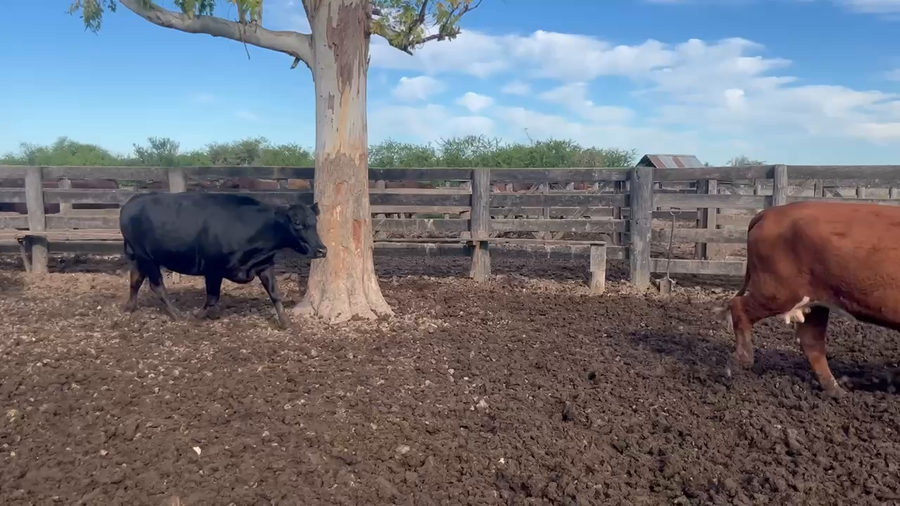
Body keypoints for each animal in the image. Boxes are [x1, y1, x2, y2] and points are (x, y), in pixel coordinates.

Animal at [119, 192, 327, 328]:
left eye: (315, 222)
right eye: (297, 223)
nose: (322, 249)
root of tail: (131, 202)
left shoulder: (264, 264)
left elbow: (275, 293)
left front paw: (285, 322)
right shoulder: (213, 268)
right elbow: (212, 296)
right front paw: (201, 314)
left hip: (139, 257)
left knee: (135, 280)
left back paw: (129, 307)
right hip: (147, 257)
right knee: (157, 286)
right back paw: (178, 315)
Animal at [715, 201, 900, 397]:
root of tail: (768, 213)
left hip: (815, 301)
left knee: (812, 341)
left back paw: (836, 391)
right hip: (778, 292)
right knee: (738, 306)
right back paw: (741, 362)